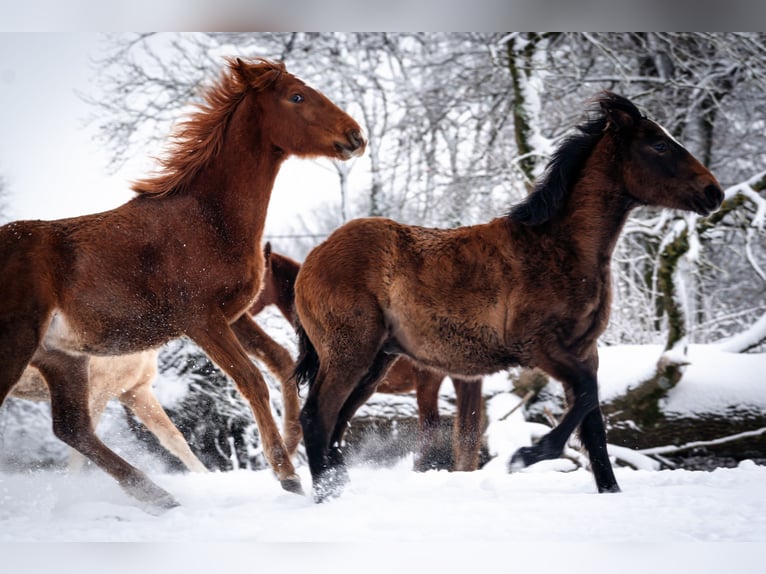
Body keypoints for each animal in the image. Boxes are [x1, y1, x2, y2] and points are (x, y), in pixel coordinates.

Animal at [0, 57, 365, 511]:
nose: (356, 136)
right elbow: (251, 377)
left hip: (62, 358)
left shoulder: (233, 314)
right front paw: (286, 474)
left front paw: (293, 442)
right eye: (296, 97)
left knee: (72, 428)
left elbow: (280, 360)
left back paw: (157, 496)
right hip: (18, 344)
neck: (206, 219)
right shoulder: (200, 318)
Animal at [293, 91, 724, 501]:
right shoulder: (539, 346)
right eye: (659, 145)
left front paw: (610, 491)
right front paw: (527, 455)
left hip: (376, 360)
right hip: (351, 352)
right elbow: (587, 395)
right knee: (316, 416)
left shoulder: (585, 350)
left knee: (336, 422)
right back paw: (326, 496)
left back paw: (337, 486)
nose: (714, 192)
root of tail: (312, 259)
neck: (558, 248)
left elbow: (594, 422)